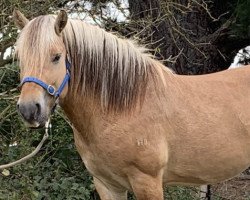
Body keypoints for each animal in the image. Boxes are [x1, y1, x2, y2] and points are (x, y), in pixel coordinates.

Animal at [14, 9, 250, 200]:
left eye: (56, 57)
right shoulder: (107, 185)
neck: (123, 107)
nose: (29, 109)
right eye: (20, 58)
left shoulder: (147, 182)